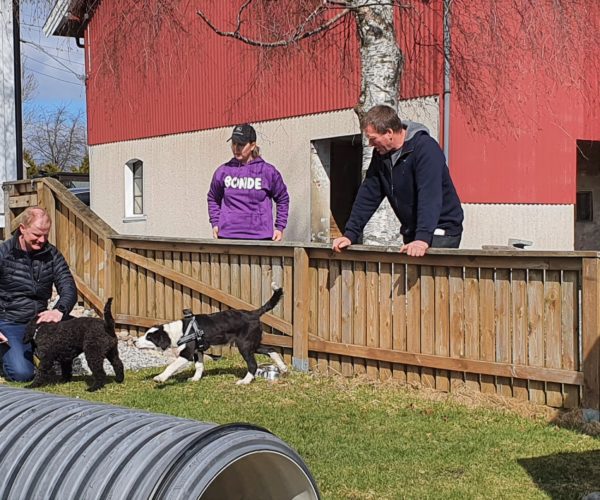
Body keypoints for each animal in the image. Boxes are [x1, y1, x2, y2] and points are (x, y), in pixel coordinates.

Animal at [137, 284, 288, 384]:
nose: (134, 341)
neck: (178, 331)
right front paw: (195, 378)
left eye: (149, 338)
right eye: (145, 335)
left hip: (244, 345)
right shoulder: (198, 350)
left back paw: (245, 381)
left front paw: (160, 378)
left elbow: (171, 366)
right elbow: (199, 366)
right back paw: (283, 368)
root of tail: (253, 313)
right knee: (271, 350)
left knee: (253, 364)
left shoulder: (187, 354)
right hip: (252, 344)